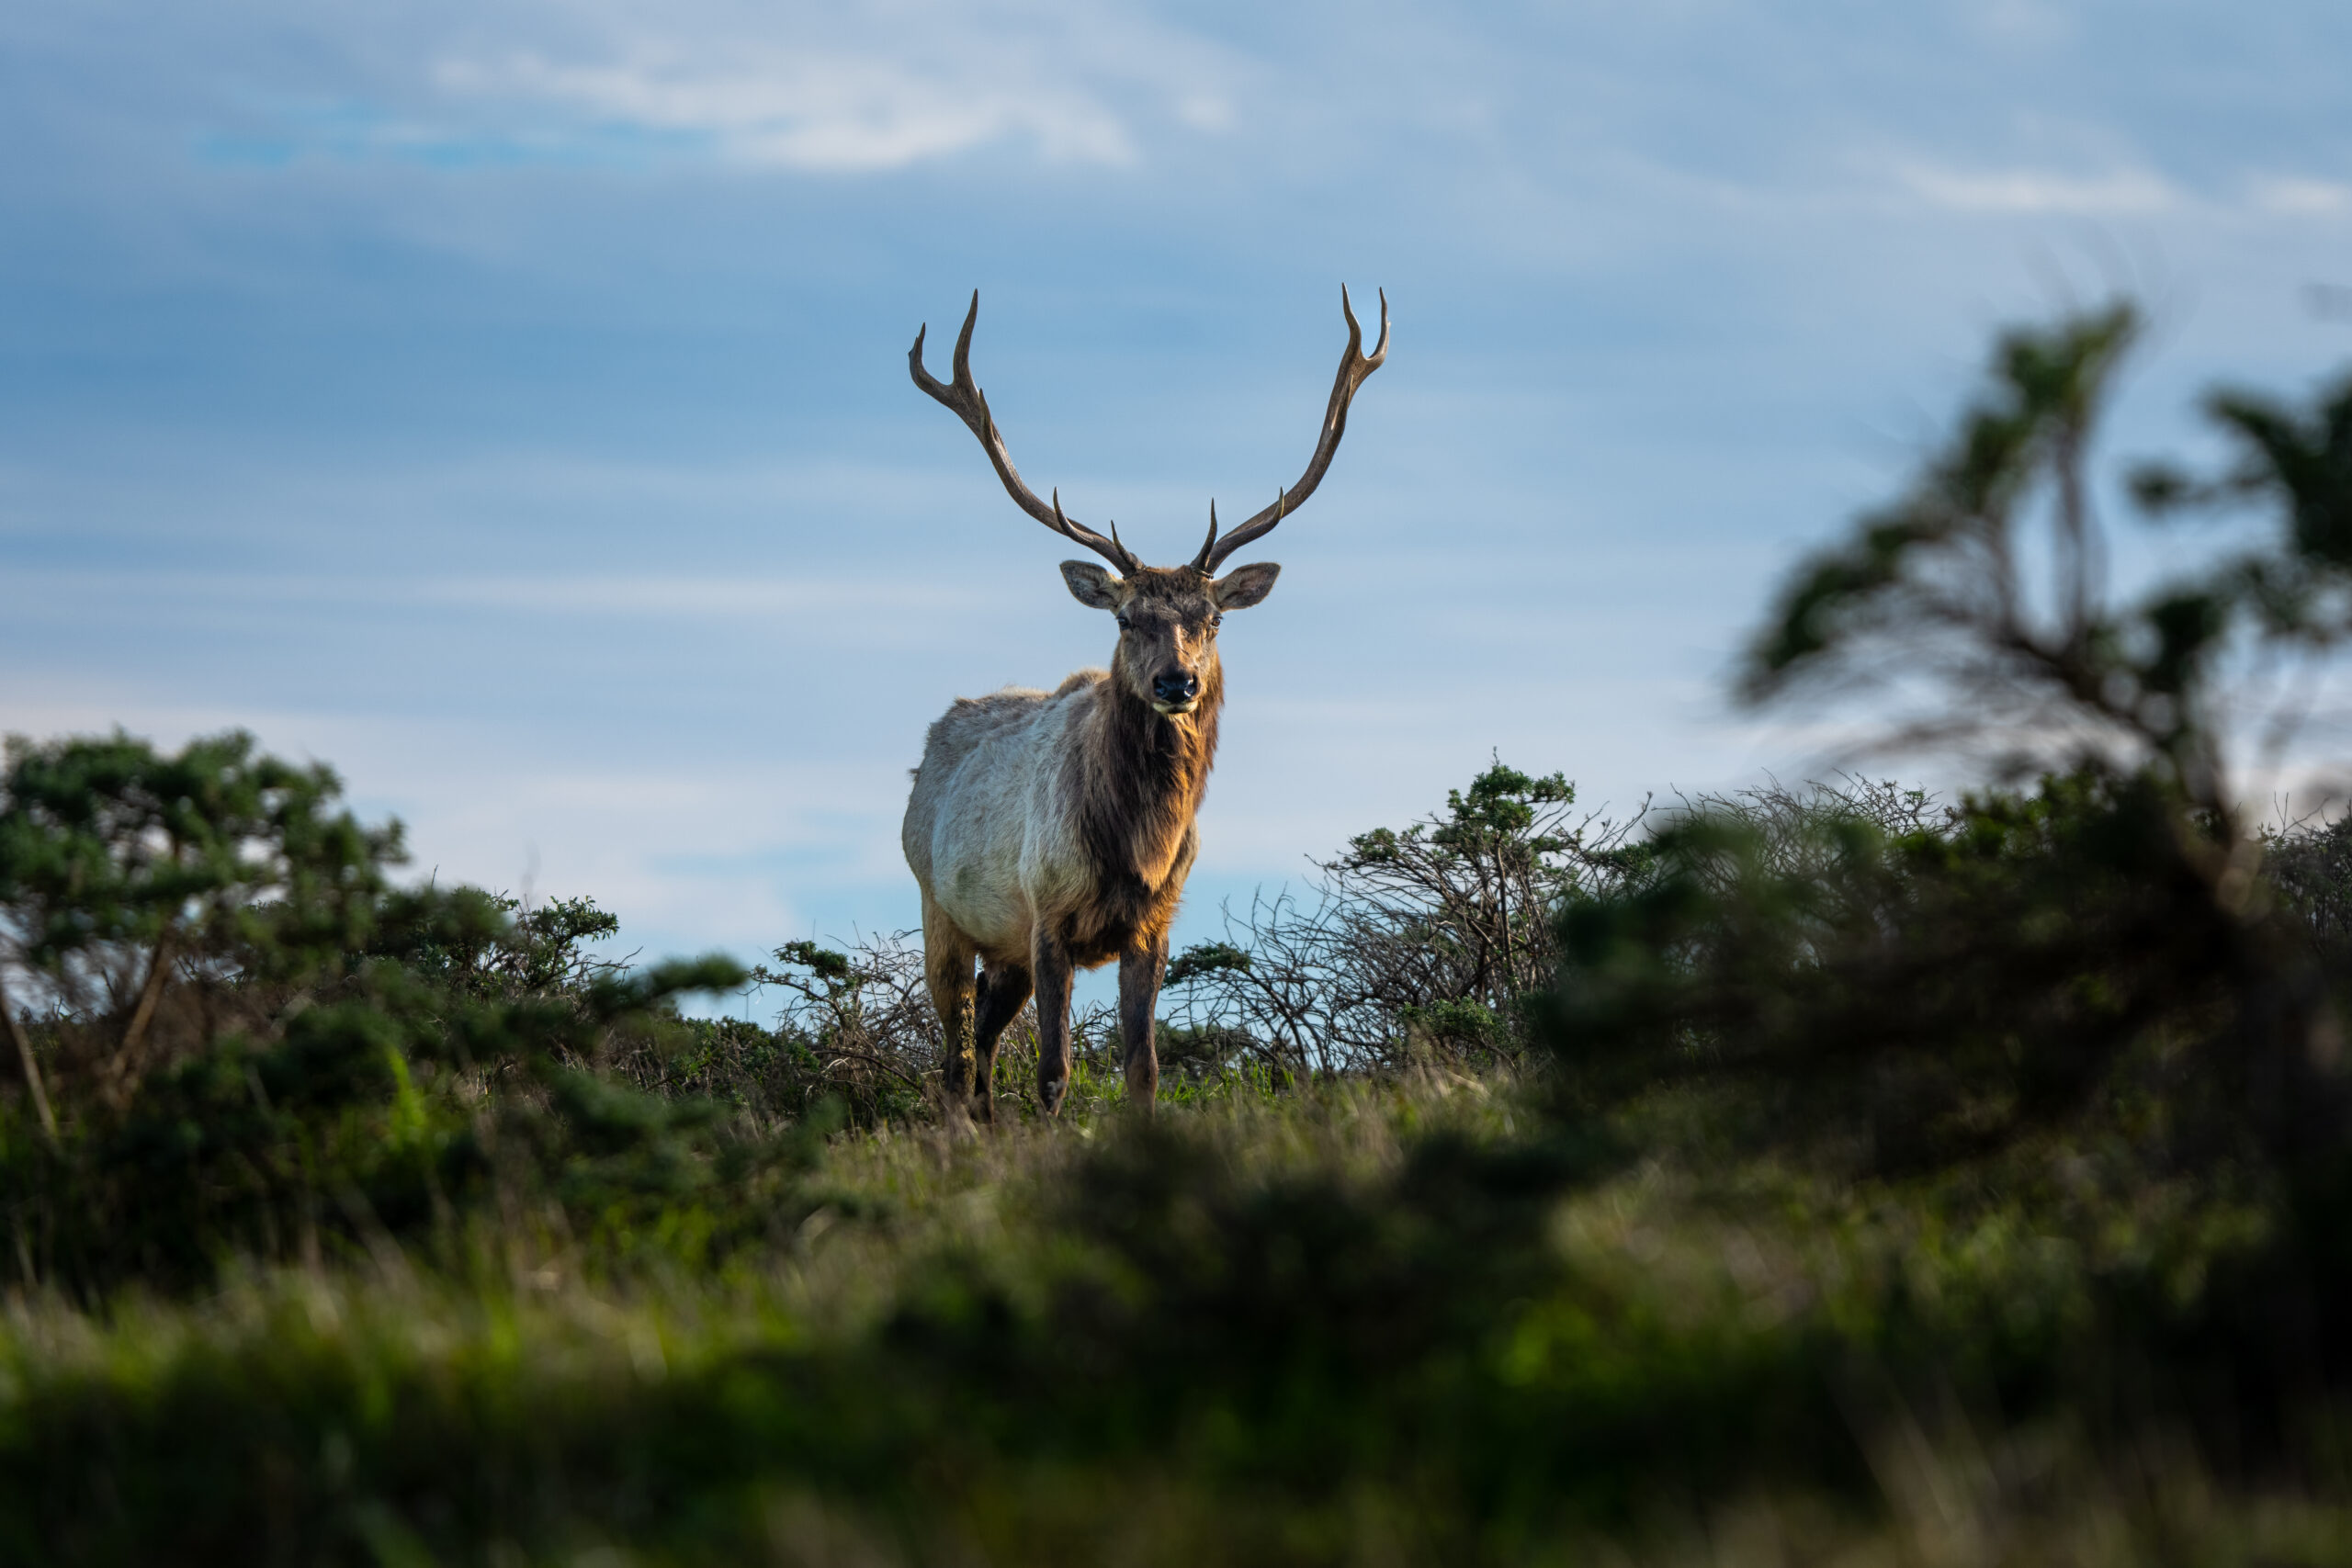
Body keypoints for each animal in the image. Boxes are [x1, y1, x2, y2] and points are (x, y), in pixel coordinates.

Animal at [900, 286, 1388, 1122]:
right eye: (1127, 618)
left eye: (1211, 618)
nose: (1176, 683)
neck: (1137, 846)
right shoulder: (1047, 912)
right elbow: (1055, 1070)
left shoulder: (1155, 924)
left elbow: (1144, 1068)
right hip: (942, 909)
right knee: (955, 1059)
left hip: (1002, 947)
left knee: (983, 1049)